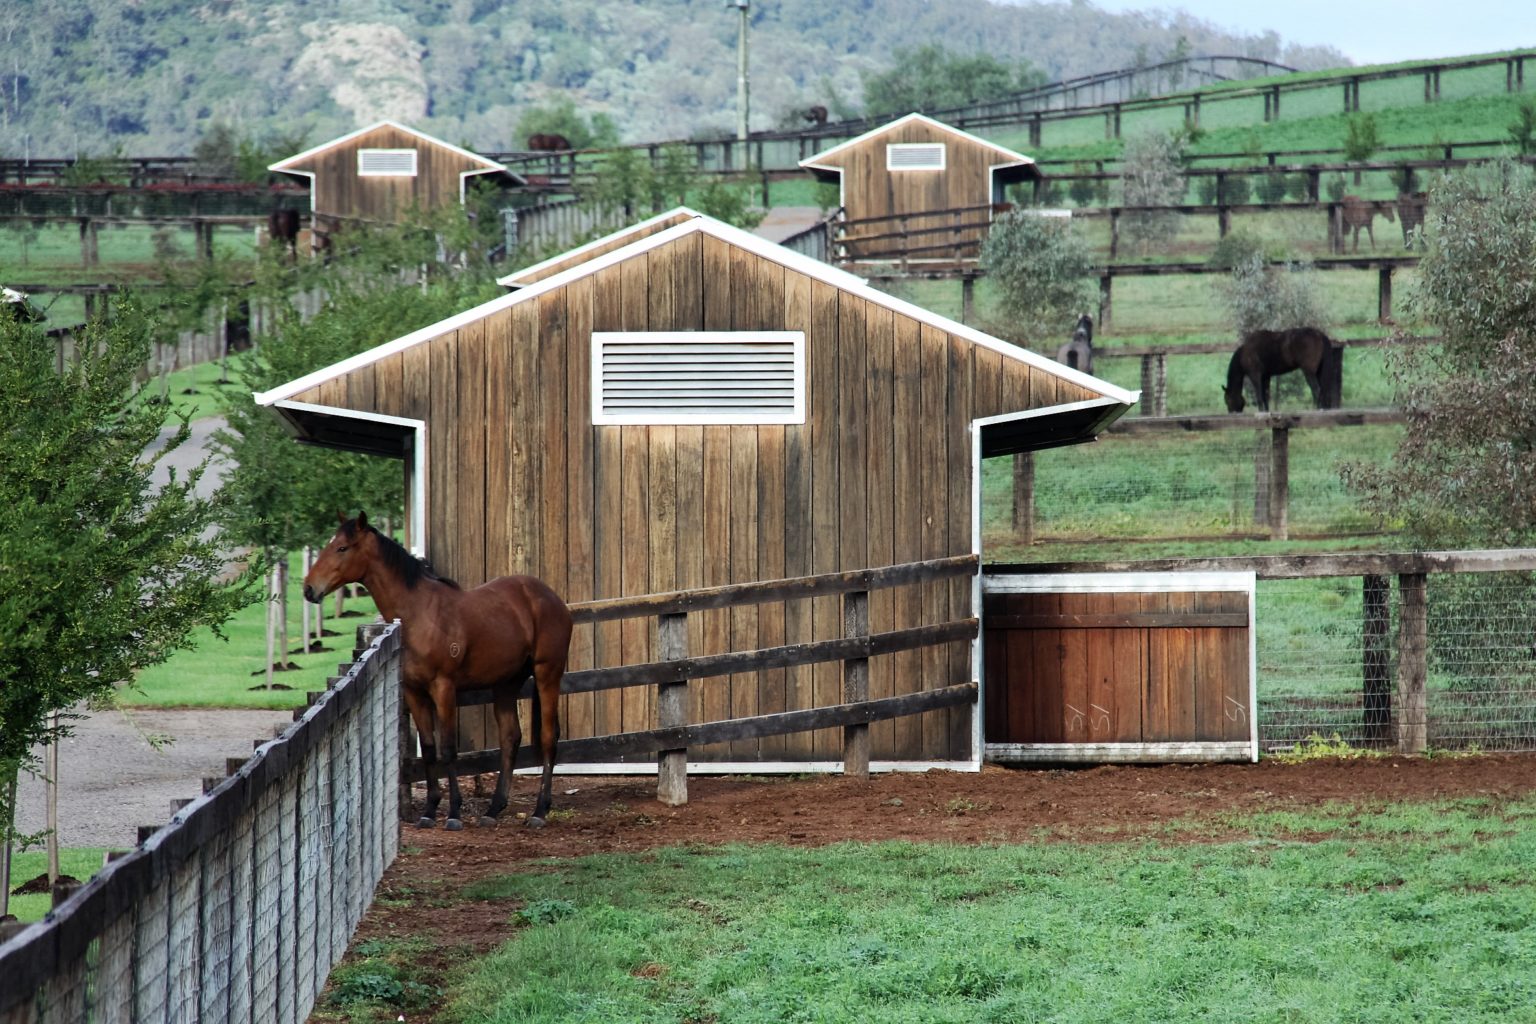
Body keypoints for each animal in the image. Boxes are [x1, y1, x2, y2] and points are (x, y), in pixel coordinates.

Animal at [303, 512, 573, 830]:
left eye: (342, 548)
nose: (309, 588)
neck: (419, 613)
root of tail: (551, 598)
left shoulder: (443, 687)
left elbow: (447, 748)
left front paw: (454, 812)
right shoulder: (414, 691)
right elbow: (430, 748)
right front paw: (430, 811)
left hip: (547, 674)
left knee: (548, 737)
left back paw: (539, 811)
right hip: (506, 682)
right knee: (510, 738)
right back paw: (493, 809)